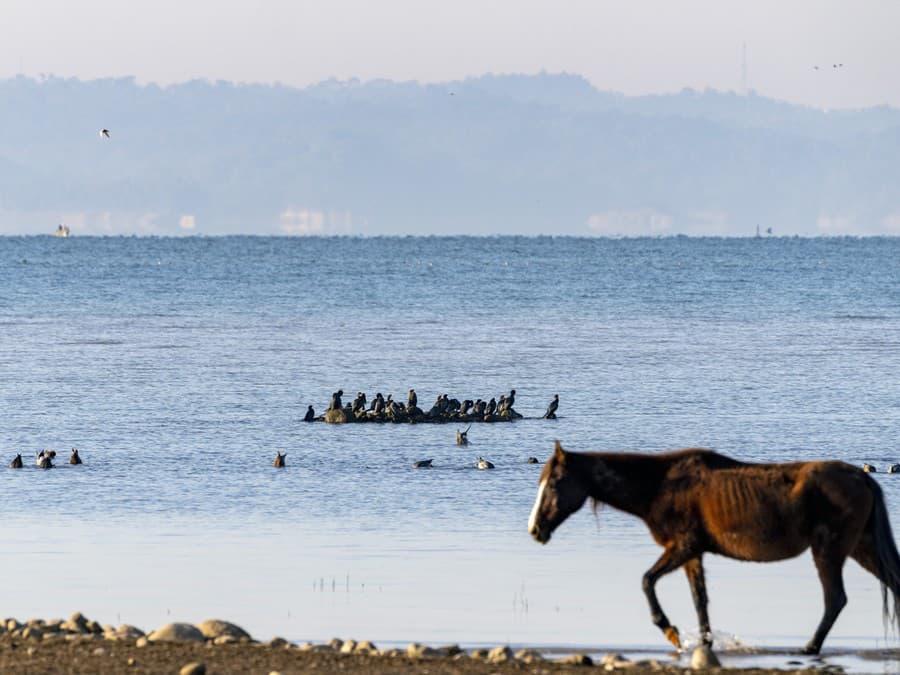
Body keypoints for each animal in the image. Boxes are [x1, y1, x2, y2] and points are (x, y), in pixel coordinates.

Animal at [528, 438, 900, 656]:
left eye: (555, 483)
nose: (535, 530)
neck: (659, 485)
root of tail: (863, 477)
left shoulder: (682, 546)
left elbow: (647, 581)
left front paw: (670, 631)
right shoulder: (693, 554)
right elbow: (699, 600)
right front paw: (703, 644)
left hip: (829, 550)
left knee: (835, 598)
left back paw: (809, 647)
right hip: (862, 548)